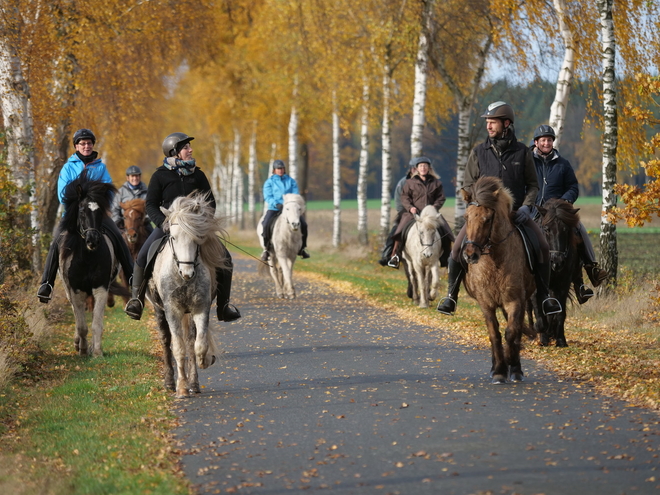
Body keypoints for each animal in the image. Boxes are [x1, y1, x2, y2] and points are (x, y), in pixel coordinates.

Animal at [58, 173, 120, 356]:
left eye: (100, 212)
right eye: (81, 210)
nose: (92, 240)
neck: (87, 258)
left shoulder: (100, 288)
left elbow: (96, 323)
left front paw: (97, 351)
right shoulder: (76, 290)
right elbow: (81, 325)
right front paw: (83, 350)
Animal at [148, 193, 227, 400]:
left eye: (197, 238)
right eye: (173, 237)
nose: (187, 273)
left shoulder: (200, 308)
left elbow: (199, 345)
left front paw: (204, 361)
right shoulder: (172, 310)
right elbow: (178, 348)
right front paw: (181, 388)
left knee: (191, 340)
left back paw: (194, 383)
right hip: (159, 310)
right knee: (166, 340)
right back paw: (169, 382)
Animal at [458, 176, 536, 386]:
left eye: (487, 219)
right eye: (466, 218)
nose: (470, 255)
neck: (495, 261)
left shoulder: (515, 300)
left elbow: (512, 332)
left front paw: (512, 365)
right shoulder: (485, 303)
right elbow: (494, 334)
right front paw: (500, 371)